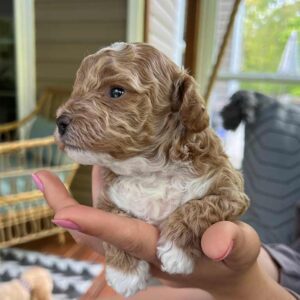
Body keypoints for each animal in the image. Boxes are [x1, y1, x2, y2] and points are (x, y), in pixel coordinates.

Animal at [55, 42, 250, 298]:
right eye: (77, 88)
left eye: (116, 92)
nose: (59, 122)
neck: (149, 169)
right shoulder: (107, 199)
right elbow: (117, 218)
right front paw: (124, 274)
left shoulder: (231, 189)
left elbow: (199, 206)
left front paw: (176, 251)